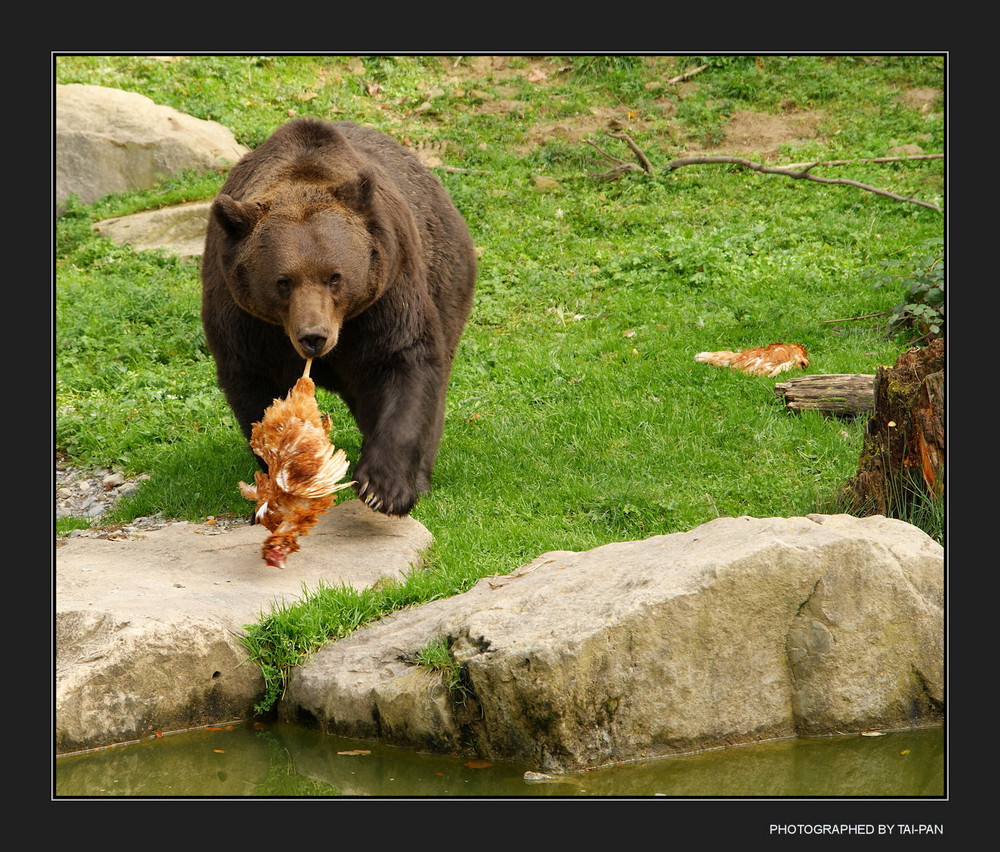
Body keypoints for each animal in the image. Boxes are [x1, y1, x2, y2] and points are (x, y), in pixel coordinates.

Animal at [202, 116, 476, 516]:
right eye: (283, 282)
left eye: (335, 276)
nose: (314, 336)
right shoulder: (245, 321)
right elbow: (256, 391)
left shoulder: (385, 298)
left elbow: (403, 363)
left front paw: (382, 488)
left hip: (445, 275)